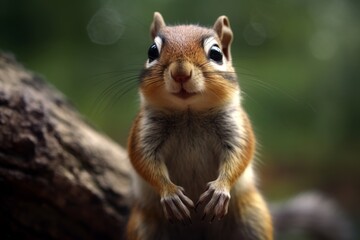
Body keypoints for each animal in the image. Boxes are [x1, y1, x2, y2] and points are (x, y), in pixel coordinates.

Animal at [126, 12, 272, 240]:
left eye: (216, 53)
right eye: (152, 51)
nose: (181, 73)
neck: (190, 114)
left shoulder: (236, 128)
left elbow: (238, 156)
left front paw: (220, 189)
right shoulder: (144, 132)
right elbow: (144, 160)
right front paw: (170, 193)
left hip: (253, 216)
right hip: (143, 225)